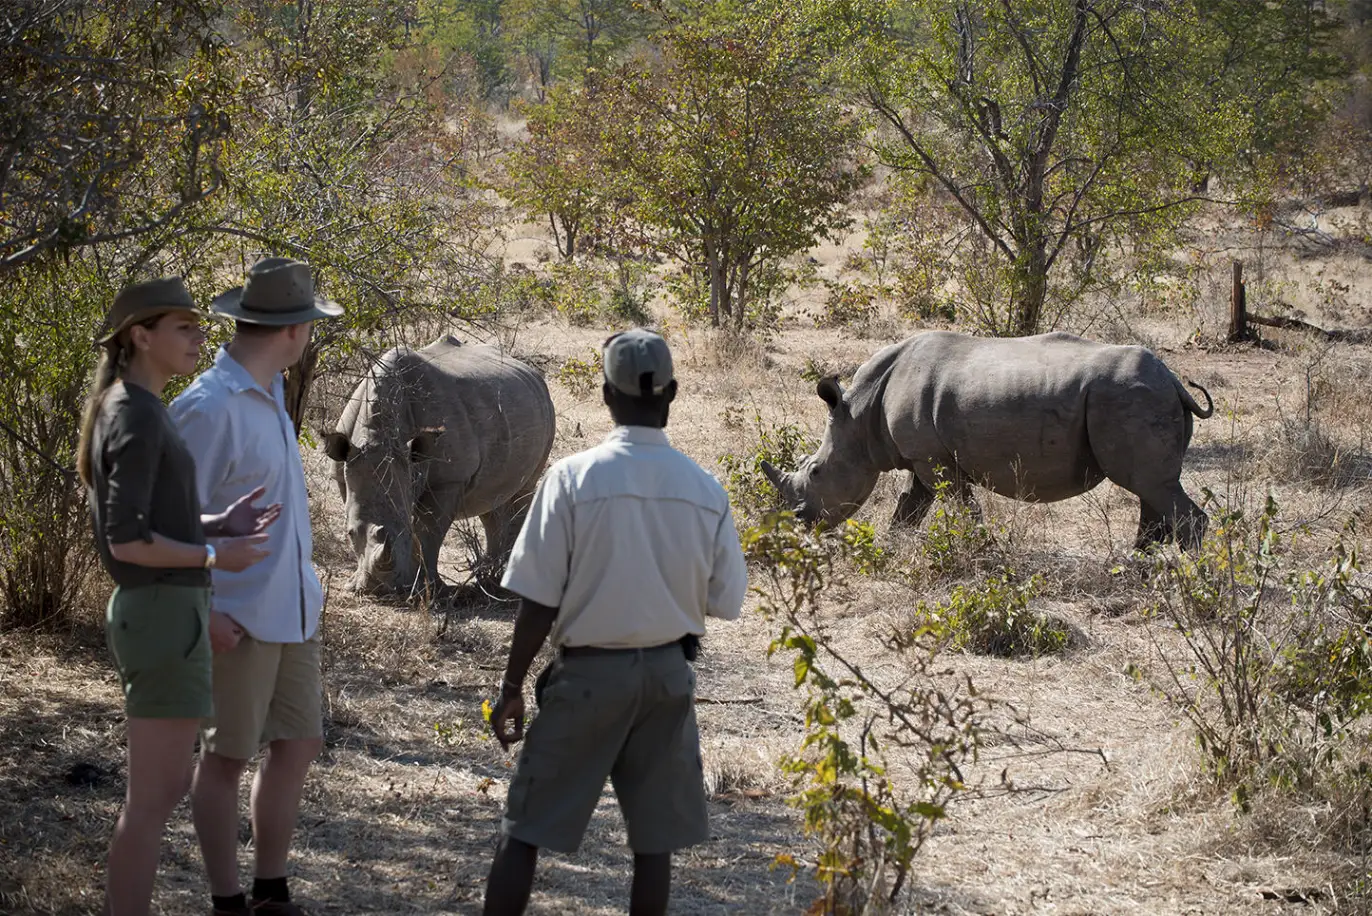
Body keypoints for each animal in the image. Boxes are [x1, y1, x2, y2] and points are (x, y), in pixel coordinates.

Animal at [323, 335, 556, 596]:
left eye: (406, 531)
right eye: (349, 534)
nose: (380, 590)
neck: (379, 437)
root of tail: (535, 374)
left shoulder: (448, 480)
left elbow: (428, 530)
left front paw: (428, 588)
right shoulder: (345, 468)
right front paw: (357, 583)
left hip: (546, 411)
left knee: (522, 492)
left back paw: (506, 581)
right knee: (492, 502)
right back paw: (490, 574)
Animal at [761, 330, 1215, 550]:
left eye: (816, 471)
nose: (800, 522)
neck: (858, 414)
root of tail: (1175, 381)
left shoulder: (933, 458)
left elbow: (961, 506)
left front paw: (980, 552)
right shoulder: (923, 456)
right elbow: (910, 507)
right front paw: (893, 548)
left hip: (1130, 396)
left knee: (1149, 485)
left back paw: (1192, 581)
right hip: (1140, 396)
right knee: (1150, 488)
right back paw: (1135, 568)